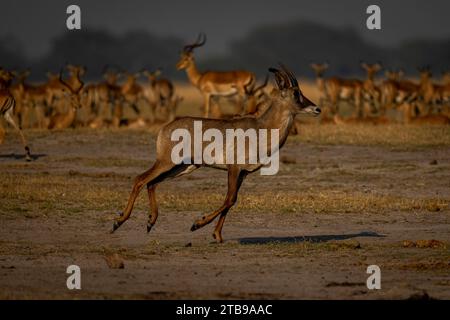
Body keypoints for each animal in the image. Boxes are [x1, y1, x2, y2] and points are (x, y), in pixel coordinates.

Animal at [110, 64, 320, 242]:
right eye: (295, 93)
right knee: (140, 179)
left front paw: (217, 235)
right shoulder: (234, 168)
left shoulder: (243, 173)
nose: (316, 108)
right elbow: (229, 199)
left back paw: (149, 222)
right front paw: (197, 224)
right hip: (166, 162)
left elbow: (232, 201)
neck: (262, 127)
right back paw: (118, 222)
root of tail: (165, 127)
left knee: (151, 183)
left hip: (182, 167)